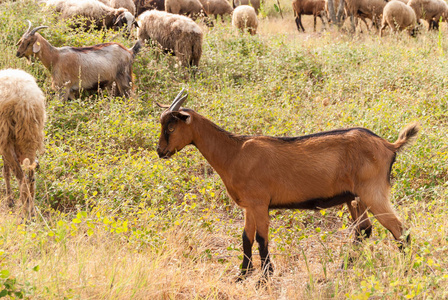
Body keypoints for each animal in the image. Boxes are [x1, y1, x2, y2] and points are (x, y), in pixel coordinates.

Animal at [0, 68, 46, 218]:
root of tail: (24, 100)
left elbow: (5, 171)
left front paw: (9, 201)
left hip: (7, 138)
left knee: (22, 179)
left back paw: (24, 213)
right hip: (30, 137)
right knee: (30, 178)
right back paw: (31, 211)